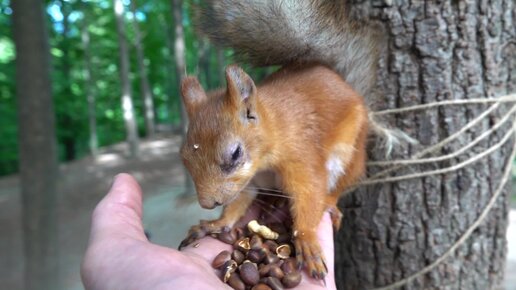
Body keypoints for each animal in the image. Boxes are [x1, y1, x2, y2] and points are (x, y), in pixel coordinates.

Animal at [177, 0, 378, 280]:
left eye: (235, 153)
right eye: (184, 158)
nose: (207, 204)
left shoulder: (301, 157)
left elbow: (309, 193)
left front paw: (306, 240)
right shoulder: (247, 183)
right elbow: (237, 204)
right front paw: (215, 223)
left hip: (349, 156)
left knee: (339, 186)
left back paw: (329, 203)